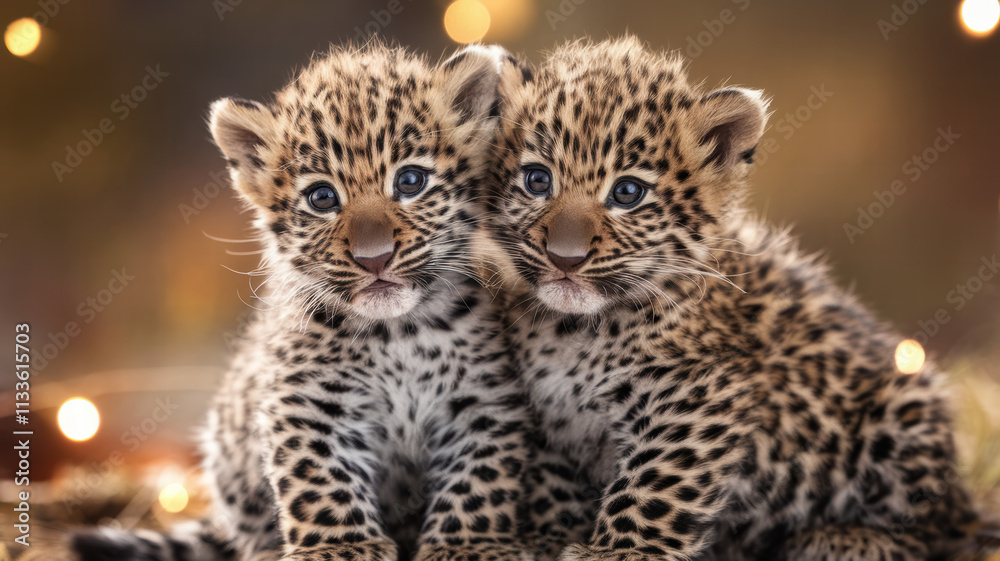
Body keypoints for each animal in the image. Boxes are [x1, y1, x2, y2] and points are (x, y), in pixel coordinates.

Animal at [65, 42, 536, 561]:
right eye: (322, 197)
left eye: (411, 181)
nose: (374, 258)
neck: (397, 333)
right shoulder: (306, 403)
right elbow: (320, 478)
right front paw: (342, 548)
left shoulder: (482, 399)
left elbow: (479, 476)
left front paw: (469, 545)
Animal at [482, 36, 980, 561]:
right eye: (537, 180)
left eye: (627, 192)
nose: (565, 258)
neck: (571, 331)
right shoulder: (549, 422)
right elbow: (551, 487)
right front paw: (549, 538)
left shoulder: (697, 395)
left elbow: (653, 484)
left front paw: (620, 552)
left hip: (906, 409)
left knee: (934, 528)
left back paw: (844, 538)